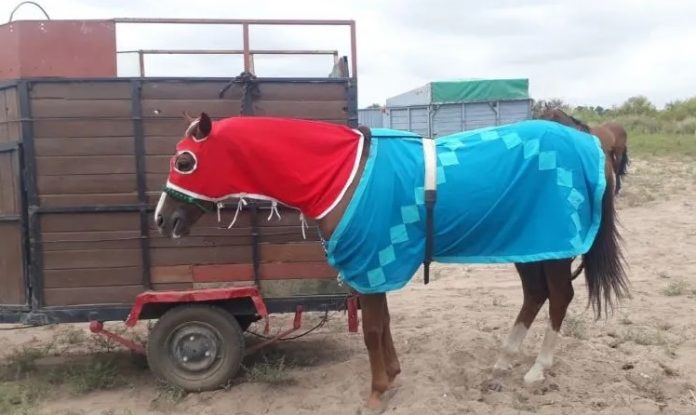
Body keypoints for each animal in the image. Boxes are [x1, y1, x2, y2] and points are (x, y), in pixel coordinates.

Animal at [154, 113, 629, 411]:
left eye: (185, 160)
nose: (163, 219)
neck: (344, 175)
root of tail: (588, 139)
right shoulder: (373, 267)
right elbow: (381, 325)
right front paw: (393, 376)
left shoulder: (372, 264)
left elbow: (372, 330)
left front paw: (377, 392)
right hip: (526, 244)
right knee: (536, 295)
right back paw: (503, 361)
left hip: (555, 246)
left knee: (559, 297)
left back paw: (537, 369)